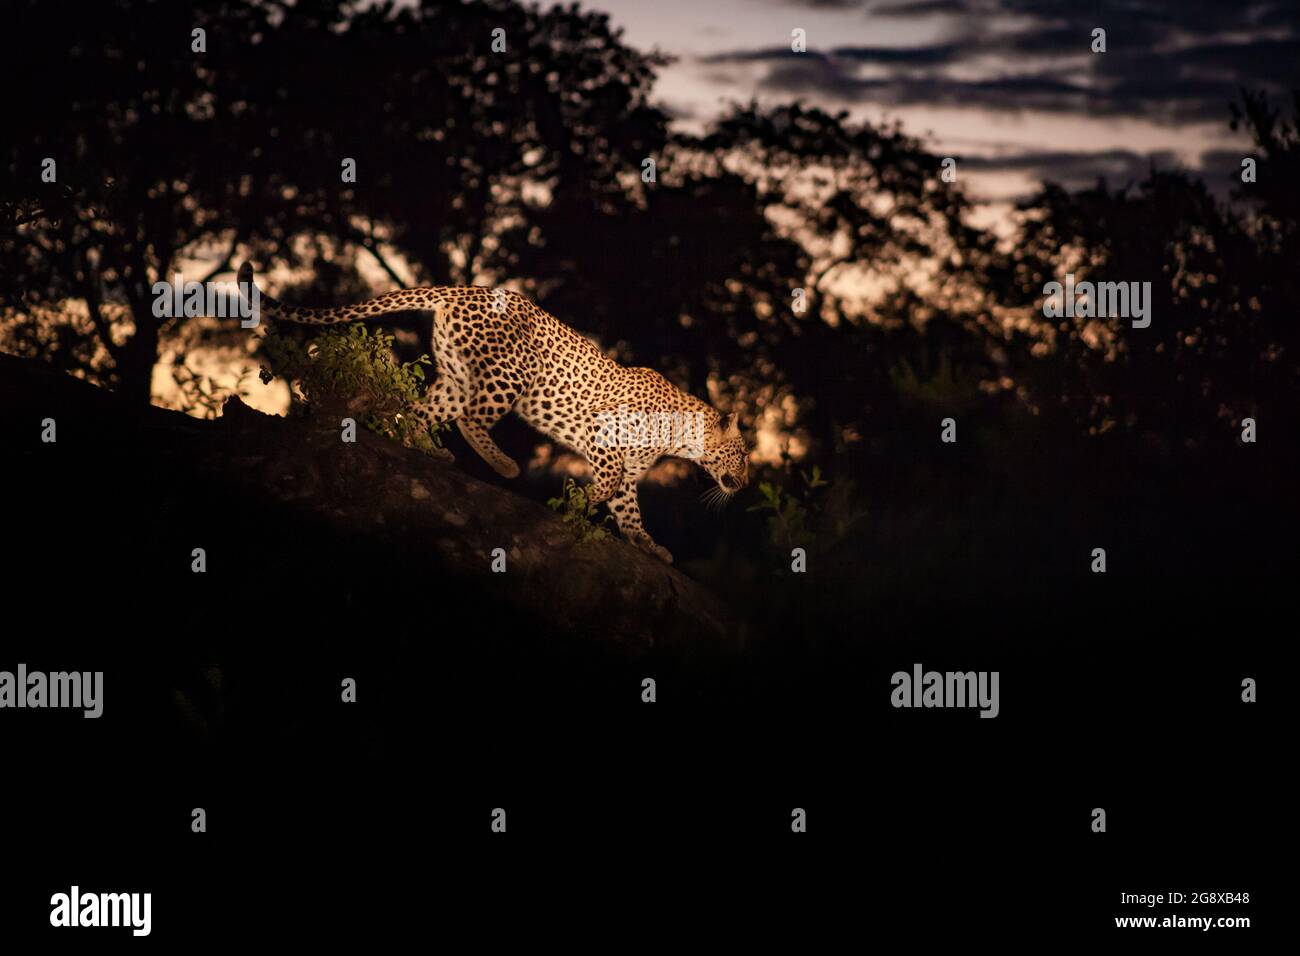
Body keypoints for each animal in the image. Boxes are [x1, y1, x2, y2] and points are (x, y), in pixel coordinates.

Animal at [239, 261, 754, 564]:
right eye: (744, 455)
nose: (746, 483)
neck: (682, 438)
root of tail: (462, 290)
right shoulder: (603, 436)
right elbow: (606, 487)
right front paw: (577, 503)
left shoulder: (629, 470)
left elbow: (629, 509)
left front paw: (648, 545)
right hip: (510, 374)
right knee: (469, 419)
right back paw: (503, 464)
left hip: (457, 376)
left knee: (421, 412)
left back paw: (432, 451)